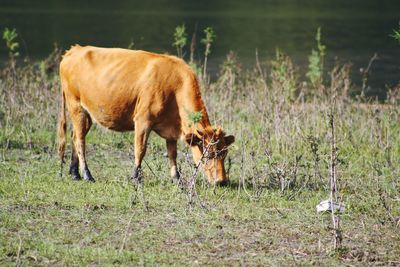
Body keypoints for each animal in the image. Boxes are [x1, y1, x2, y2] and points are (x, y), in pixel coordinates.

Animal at [57, 45, 236, 185]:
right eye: (209, 154)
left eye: (224, 153)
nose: (222, 181)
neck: (176, 86)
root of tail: (74, 49)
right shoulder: (143, 120)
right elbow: (140, 149)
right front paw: (136, 177)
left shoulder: (172, 128)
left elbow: (172, 153)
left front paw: (177, 179)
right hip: (76, 106)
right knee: (80, 140)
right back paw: (87, 175)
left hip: (86, 113)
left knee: (75, 136)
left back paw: (75, 173)